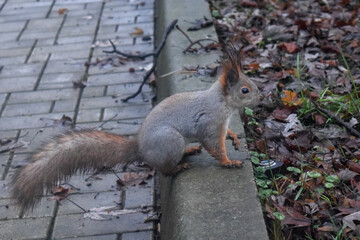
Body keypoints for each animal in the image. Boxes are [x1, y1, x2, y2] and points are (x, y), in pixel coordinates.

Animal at [9, 44, 262, 211]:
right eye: (245, 90)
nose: (263, 97)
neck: (222, 103)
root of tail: (140, 148)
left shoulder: (221, 125)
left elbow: (226, 135)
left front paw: (234, 138)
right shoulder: (209, 124)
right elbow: (214, 147)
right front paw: (229, 162)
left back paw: (189, 151)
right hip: (171, 140)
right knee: (165, 168)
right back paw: (178, 167)